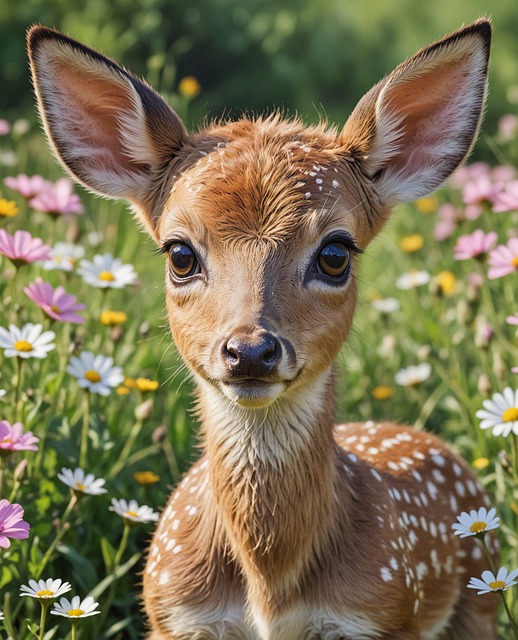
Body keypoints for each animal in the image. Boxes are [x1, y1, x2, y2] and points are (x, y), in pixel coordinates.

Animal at [28, 19, 499, 640]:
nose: (250, 351)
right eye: (180, 254)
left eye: (335, 254)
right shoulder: (174, 615)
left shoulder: (380, 612)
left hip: (480, 599)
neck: (268, 584)